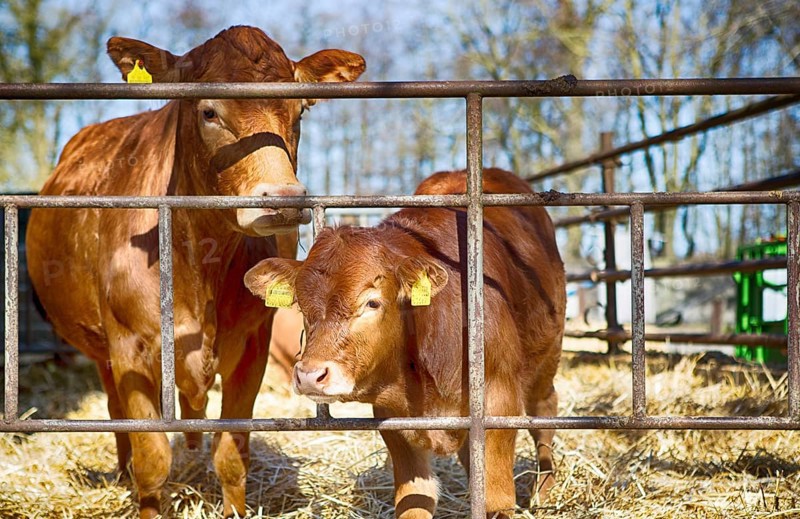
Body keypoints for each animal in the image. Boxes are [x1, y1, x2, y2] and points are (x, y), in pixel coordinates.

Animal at [25, 26, 365, 518]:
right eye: (208, 111)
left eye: (300, 110)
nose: (284, 199)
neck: (197, 265)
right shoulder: (129, 350)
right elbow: (152, 461)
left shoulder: (252, 347)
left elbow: (231, 454)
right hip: (103, 353)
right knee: (116, 414)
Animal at [243, 168, 567, 518]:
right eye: (301, 306)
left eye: (372, 303)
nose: (309, 375)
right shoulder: (396, 421)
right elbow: (414, 502)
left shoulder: (499, 400)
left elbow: (495, 499)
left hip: (546, 358)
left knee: (544, 413)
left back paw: (546, 490)